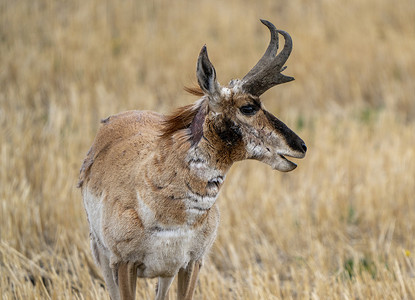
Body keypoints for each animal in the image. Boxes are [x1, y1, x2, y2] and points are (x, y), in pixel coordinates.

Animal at [79, 19, 306, 300]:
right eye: (249, 107)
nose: (301, 146)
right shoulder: (123, 264)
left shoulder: (192, 263)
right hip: (102, 257)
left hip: (165, 273)